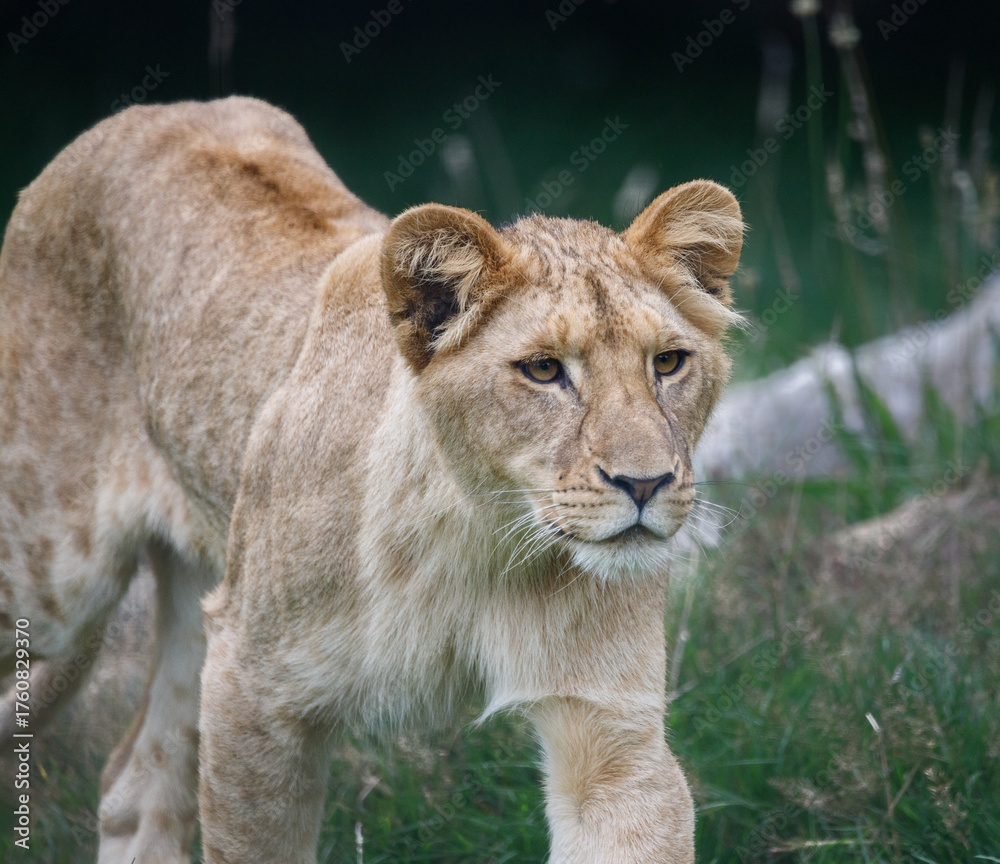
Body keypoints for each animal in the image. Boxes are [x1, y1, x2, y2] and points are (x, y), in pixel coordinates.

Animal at [0, 96, 743, 863]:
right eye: (543, 370)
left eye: (668, 362)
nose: (646, 484)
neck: (482, 541)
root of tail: (143, 113)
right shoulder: (250, 684)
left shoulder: (611, 731)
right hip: (54, 587)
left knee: (134, 782)